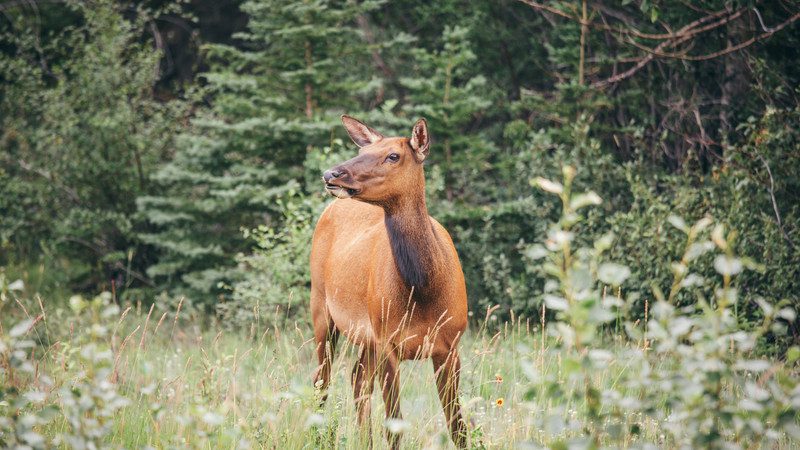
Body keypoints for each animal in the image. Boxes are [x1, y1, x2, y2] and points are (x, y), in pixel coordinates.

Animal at [308, 115, 468, 446]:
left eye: (393, 155)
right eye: (363, 150)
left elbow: (457, 427)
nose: (332, 173)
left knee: (356, 379)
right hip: (322, 309)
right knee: (322, 381)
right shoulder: (388, 344)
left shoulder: (450, 345)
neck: (423, 288)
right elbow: (394, 425)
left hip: (366, 336)